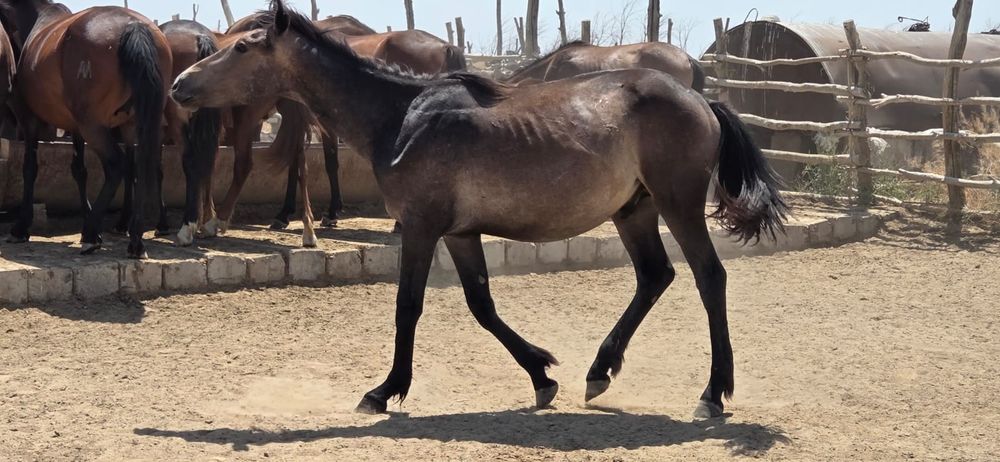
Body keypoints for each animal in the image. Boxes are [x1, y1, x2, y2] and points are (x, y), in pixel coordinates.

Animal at [1, 0, 170, 259]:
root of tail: (134, 27)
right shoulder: (75, 128)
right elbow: (79, 171)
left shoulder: (29, 120)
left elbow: (30, 168)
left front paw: (21, 227)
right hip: (134, 124)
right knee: (140, 167)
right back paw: (134, 240)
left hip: (94, 127)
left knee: (116, 166)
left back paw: (92, 234)